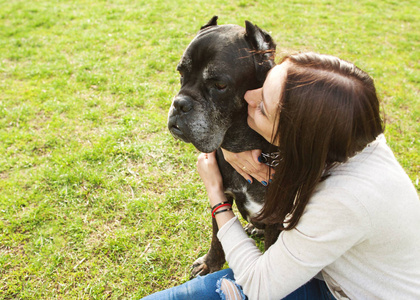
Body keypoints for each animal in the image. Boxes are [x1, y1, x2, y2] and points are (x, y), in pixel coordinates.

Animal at [169, 16, 280, 276]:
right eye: (181, 73)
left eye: (219, 84)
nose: (179, 104)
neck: (243, 144)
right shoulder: (222, 195)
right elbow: (218, 234)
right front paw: (210, 263)